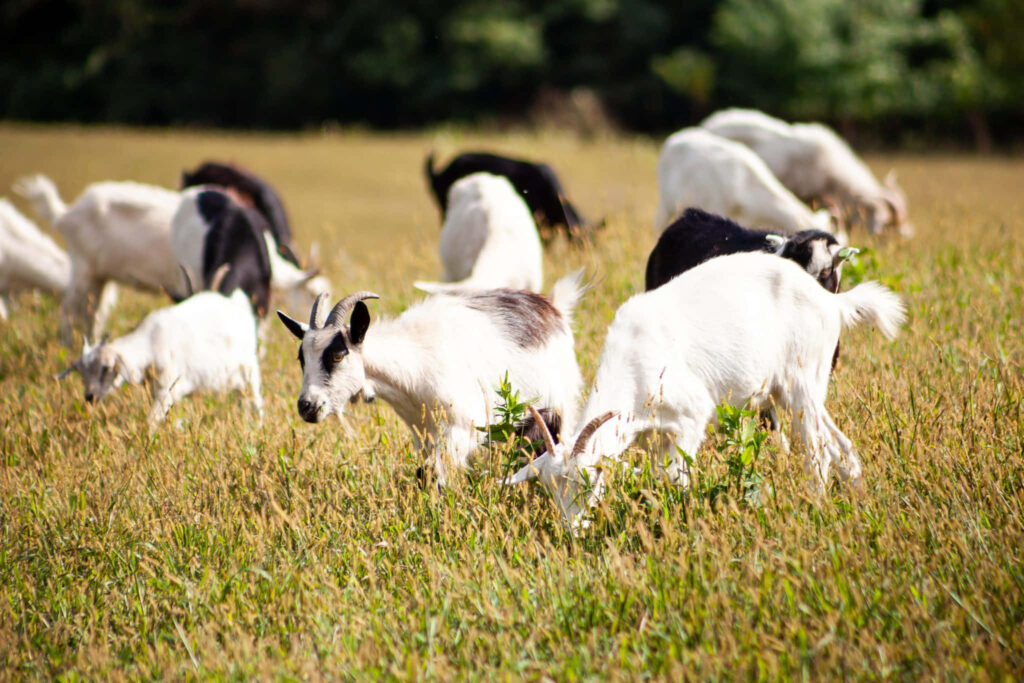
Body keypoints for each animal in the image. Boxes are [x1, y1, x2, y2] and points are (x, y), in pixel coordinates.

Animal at [13, 174, 187, 344]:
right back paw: (69, 345)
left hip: (99, 279)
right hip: (84, 270)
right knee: (69, 310)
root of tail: (65, 214)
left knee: (93, 314)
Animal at [57, 270, 263, 430]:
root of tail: (238, 303)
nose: (89, 397)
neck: (150, 343)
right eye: (81, 372)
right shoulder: (156, 389)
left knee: (255, 399)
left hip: (249, 368)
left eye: (106, 368)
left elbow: (151, 421)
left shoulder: (167, 388)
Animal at [277, 270, 586, 486]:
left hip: (561, 407)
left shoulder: (461, 430)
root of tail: (553, 307)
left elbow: (434, 477)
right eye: (301, 358)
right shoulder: (424, 432)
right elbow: (423, 474)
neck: (413, 363)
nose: (306, 406)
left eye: (338, 355)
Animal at [507, 252, 905, 527]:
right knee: (839, 442)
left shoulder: (692, 416)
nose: (572, 529)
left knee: (817, 449)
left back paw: (816, 505)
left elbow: (674, 478)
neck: (634, 360)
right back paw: (855, 496)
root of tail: (832, 302)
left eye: (589, 481)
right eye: (549, 488)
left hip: (801, 384)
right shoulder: (653, 436)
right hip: (798, 387)